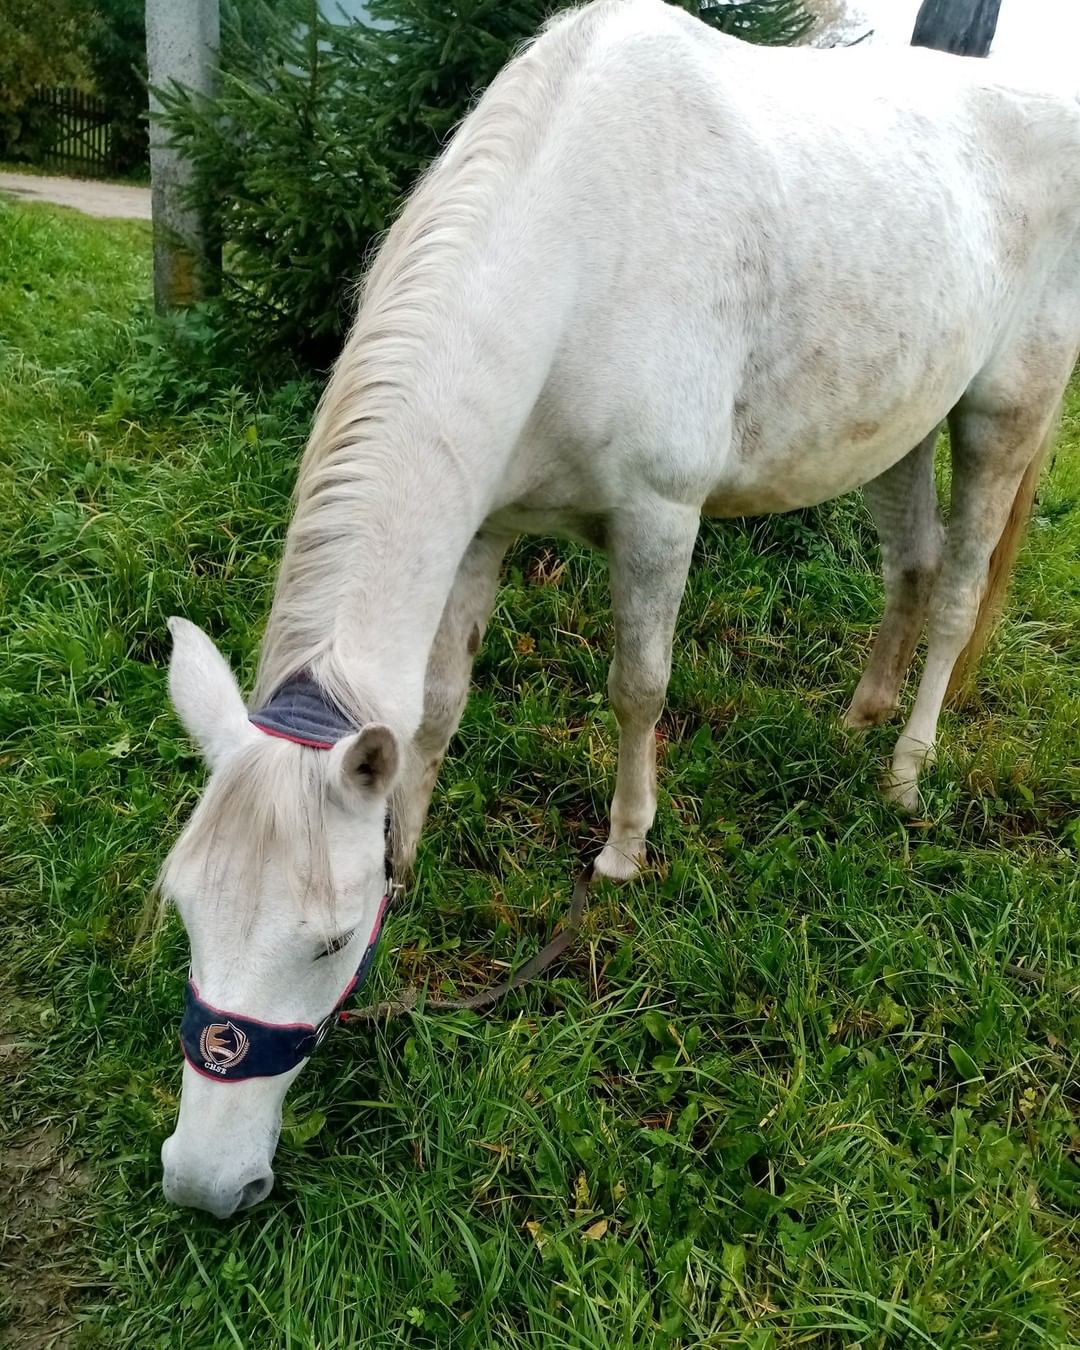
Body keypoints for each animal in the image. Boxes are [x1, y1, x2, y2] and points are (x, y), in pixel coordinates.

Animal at [157, 0, 1080, 1220]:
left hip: (1002, 412)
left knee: (961, 592)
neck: (574, 248)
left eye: (328, 942)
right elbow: (438, 707)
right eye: (185, 913)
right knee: (913, 567)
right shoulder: (486, 527)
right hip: (901, 422)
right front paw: (412, 848)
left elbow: (638, 688)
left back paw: (905, 770)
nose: (205, 1185)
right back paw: (862, 711)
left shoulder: (658, 519)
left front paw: (625, 852)